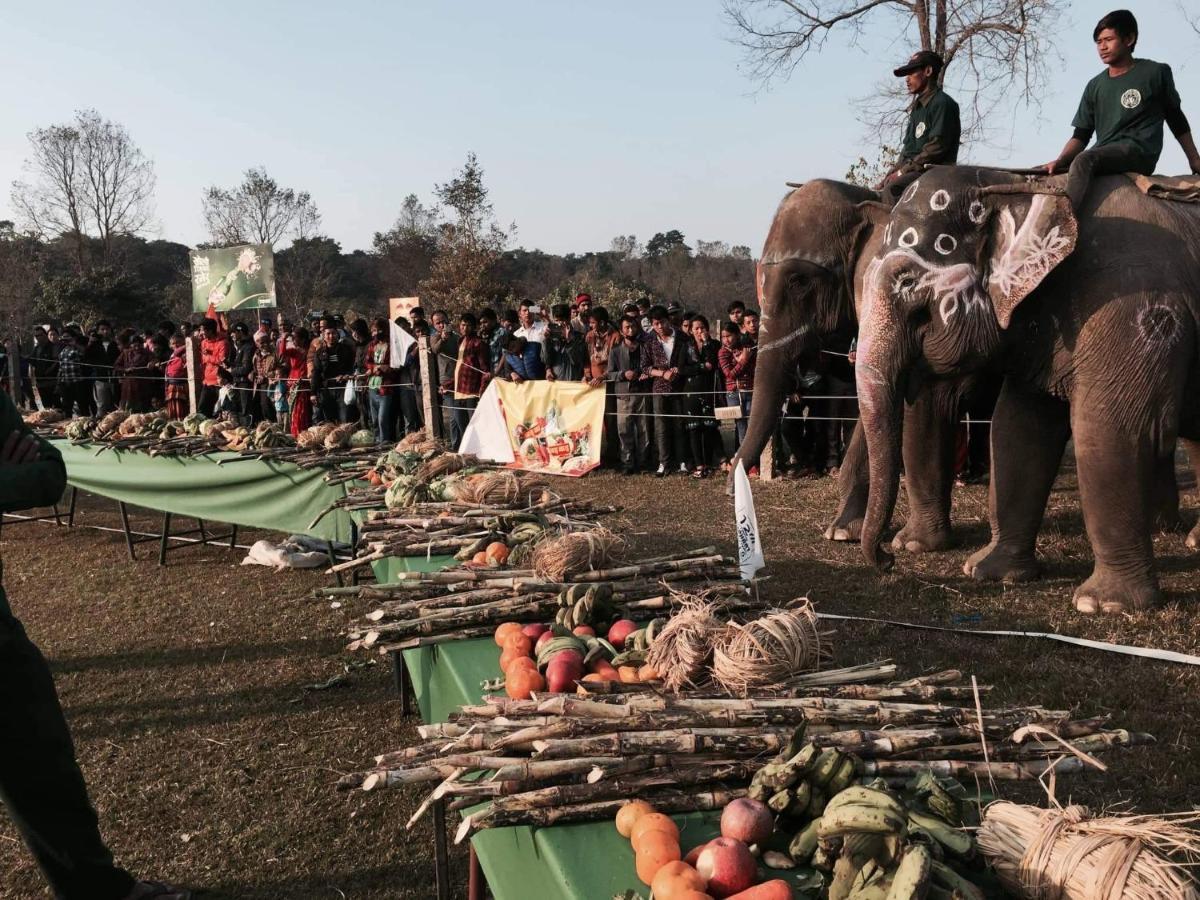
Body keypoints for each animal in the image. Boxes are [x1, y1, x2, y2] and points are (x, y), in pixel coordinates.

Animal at [854, 166, 1200, 619]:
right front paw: (987, 572)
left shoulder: (1140, 307)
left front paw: (1101, 604)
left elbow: (1109, 430)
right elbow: (1017, 429)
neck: (1018, 185)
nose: (887, 558)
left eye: (907, 281)